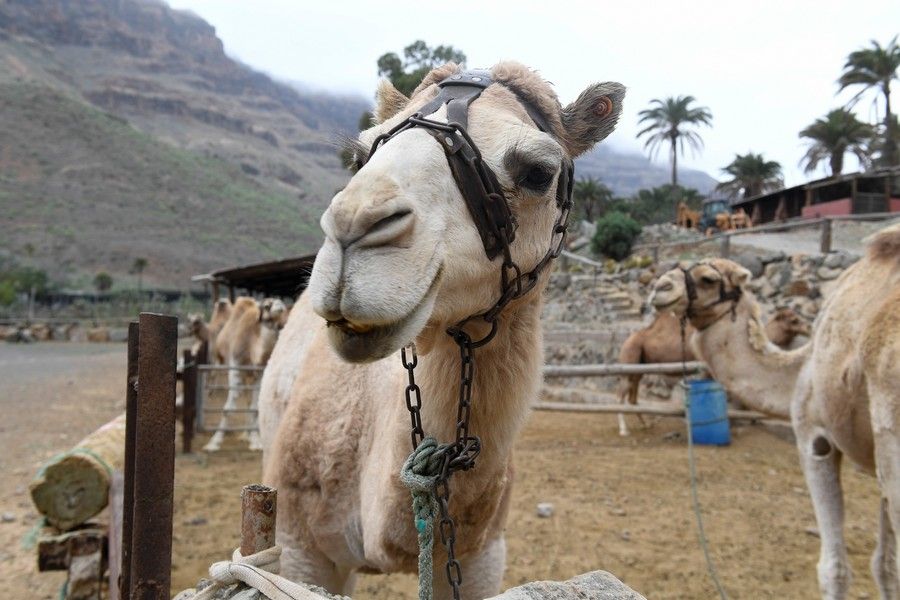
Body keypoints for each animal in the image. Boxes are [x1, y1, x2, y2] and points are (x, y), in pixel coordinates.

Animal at [205, 298, 286, 452]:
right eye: (267, 306)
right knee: (213, 378)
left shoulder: (259, 373)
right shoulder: (235, 369)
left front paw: (255, 441)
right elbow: (228, 408)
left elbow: (254, 407)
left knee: (248, 401)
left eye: (283, 307)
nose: (279, 306)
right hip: (219, 362)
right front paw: (214, 442)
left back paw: (246, 435)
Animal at [616, 308, 812, 434]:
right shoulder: (706, 367)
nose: (809, 327)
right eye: (794, 320)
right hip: (630, 356)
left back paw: (645, 424)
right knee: (621, 395)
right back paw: (624, 430)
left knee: (633, 397)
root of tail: (627, 340)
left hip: (639, 366)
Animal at [652, 226, 900, 600]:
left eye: (708, 278)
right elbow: (885, 567)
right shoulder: (873, 460)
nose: (659, 288)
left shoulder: (815, 438)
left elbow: (833, 569)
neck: (798, 367)